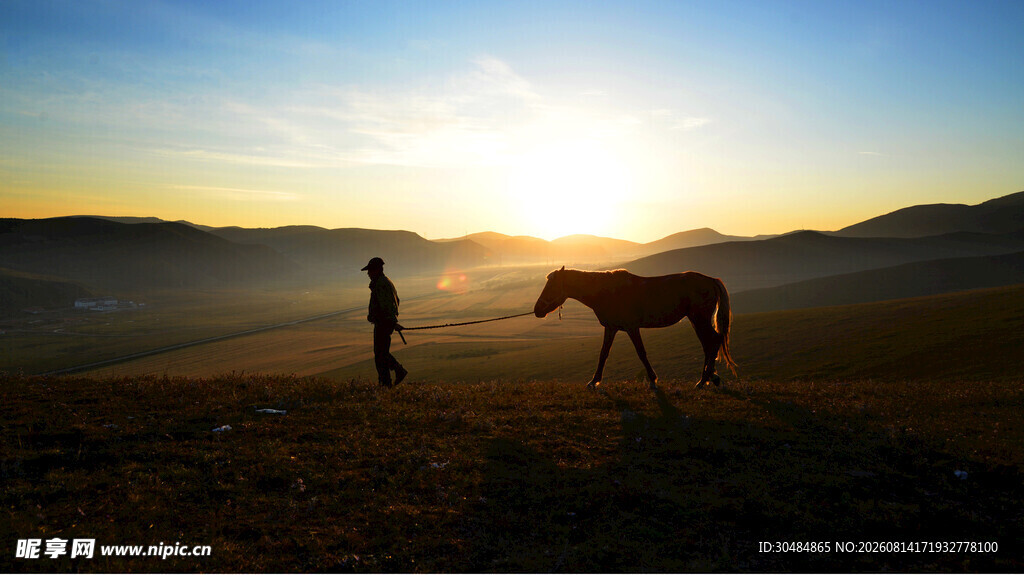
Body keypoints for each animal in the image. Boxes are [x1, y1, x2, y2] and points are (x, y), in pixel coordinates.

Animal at [534, 267, 736, 389]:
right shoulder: (611, 328)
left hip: (700, 319)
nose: (537, 310)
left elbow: (641, 352)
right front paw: (594, 381)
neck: (607, 291)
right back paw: (709, 377)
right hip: (696, 320)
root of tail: (710, 280)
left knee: (714, 341)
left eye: (551, 286)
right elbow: (603, 353)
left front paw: (653, 379)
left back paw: (704, 380)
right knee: (709, 344)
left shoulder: (632, 328)